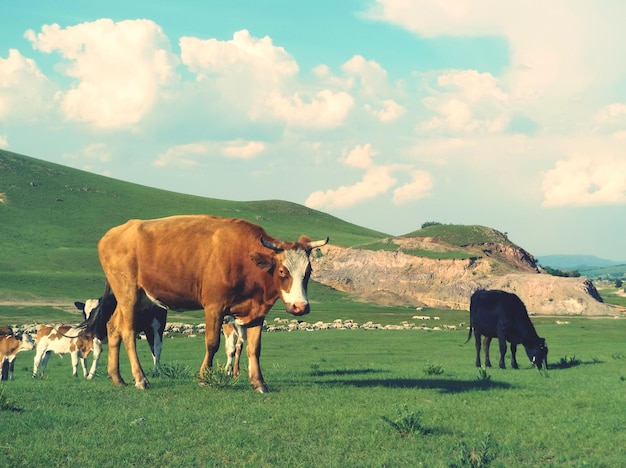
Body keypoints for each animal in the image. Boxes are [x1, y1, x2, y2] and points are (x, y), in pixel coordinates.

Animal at [82, 216, 326, 392]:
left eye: (308, 272)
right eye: (283, 271)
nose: (300, 307)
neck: (244, 259)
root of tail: (113, 234)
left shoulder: (257, 312)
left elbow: (254, 348)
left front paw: (259, 383)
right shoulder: (214, 307)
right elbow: (212, 343)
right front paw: (203, 378)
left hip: (137, 298)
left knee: (113, 328)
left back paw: (117, 377)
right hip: (129, 293)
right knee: (127, 331)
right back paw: (140, 379)